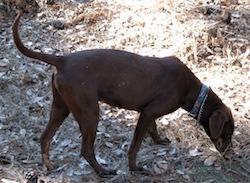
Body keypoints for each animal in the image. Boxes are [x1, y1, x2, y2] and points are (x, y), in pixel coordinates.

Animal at [12, 13, 234, 177]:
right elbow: (134, 147)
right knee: (86, 150)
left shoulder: (149, 112)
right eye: (228, 132)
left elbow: (153, 129)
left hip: (61, 107)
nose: (230, 156)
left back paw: (49, 166)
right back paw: (103, 171)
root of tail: (63, 60)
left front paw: (159, 140)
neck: (193, 92)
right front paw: (135, 168)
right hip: (89, 113)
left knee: (44, 138)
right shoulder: (148, 113)